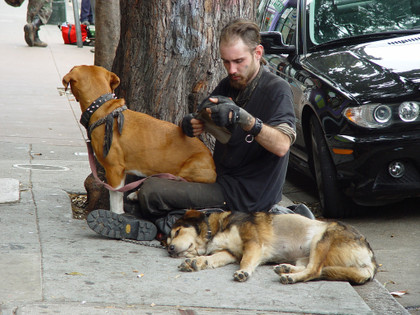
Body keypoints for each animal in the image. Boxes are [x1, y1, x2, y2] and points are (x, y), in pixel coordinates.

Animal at [64, 66, 218, 215]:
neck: (104, 109)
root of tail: (212, 162)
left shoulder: (114, 170)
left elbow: (115, 199)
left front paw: (116, 215)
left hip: (187, 171)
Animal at [167, 211, 378, 286]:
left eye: (177, 231)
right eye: (168, 239)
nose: (169, 248)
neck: (215, 229)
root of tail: (371, 261)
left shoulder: (253, 244)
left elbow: (246, 261)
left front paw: (243, 272)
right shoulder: (229, 253)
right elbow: (211, 259)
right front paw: (195, 262)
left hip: (322, 238)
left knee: (315, 270)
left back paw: (290, 277)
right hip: (306, 254)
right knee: (311, 267)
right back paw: (286, 269)